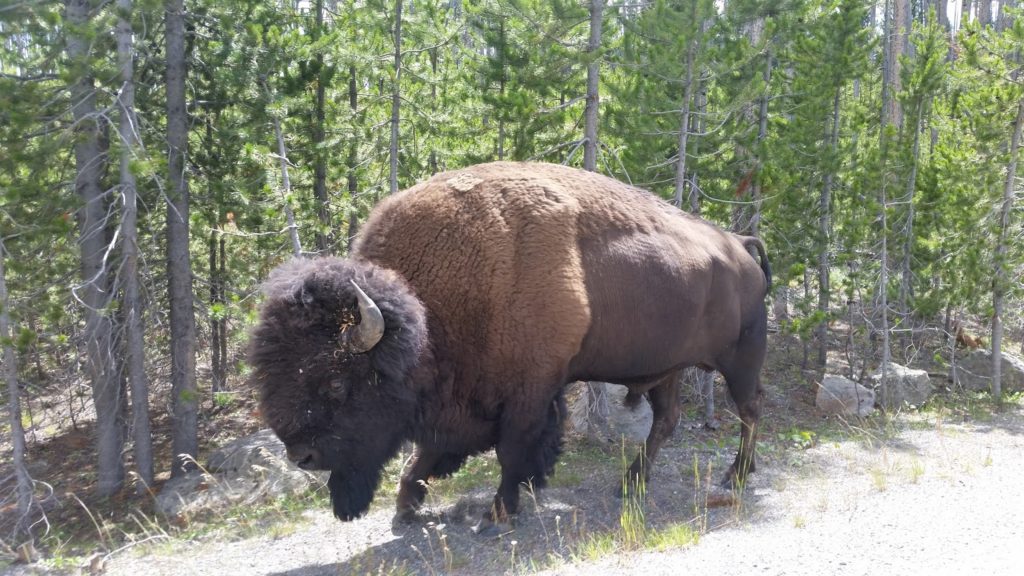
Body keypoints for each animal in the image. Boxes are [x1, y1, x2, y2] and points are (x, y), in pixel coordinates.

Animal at [249, 161, 770, 528]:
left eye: (336, 384)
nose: (301, 457)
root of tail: (739, 244)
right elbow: (429, 453)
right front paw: (405, 506)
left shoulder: (531, 390)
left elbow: (512, 449)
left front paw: (498, 511)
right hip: (668, 369)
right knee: (666, 422)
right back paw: (630, 484)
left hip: (742, 357)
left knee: (749, 411)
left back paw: (735, 475)